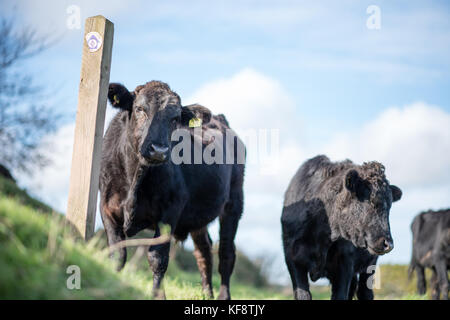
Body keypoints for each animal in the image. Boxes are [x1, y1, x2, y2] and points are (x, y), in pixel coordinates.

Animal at [100, 80, 244, 300]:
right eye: (139, 109)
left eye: (175, 118)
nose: (158, 150)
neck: (135, 176)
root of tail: (220, 120)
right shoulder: (107, 207)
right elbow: (118, 253)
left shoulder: (170, 212)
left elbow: (157, 257)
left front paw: (157, 295)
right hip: (198, 215)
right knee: (204, 251)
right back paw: (206, 294)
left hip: (234, 203)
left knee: (226, 252)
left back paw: (223, 296)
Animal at [284, 155, 402, 300]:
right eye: (370, 201)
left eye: (389, 206)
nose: (388, 244)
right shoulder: (293, 259)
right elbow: (303, 294)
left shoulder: (344, 263)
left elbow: (340, 295)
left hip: (371, 263)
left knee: (364, 291)